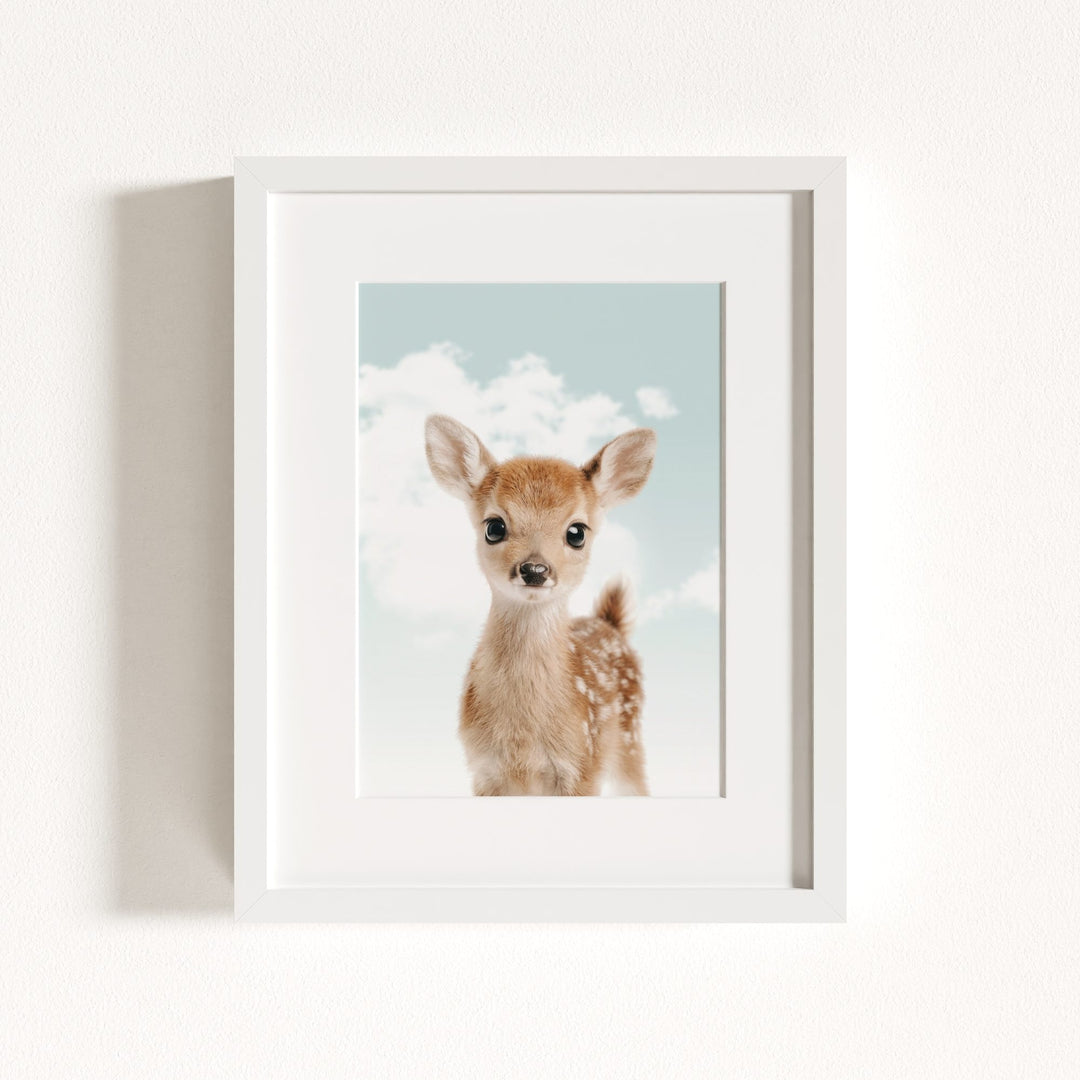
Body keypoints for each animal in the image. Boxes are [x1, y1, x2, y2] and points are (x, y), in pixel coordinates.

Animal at [424, 414, 657, 796]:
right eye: (494, 527)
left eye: (577, 532)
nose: (535, 569)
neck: (523, 739)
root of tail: (610, 623)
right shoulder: (484, 770)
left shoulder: (582, 766)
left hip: (629, 738)